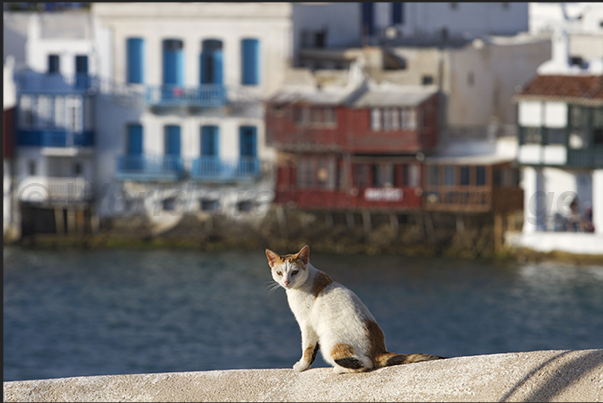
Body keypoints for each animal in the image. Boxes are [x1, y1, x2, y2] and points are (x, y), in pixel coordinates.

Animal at [266, 246, 446, 376]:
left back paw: (339, 368)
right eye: (279, 272)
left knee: (366, 364)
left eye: (295, 272)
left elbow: (307, 348)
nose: (287, 281)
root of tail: (379, 350)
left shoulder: (307, 325)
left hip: (330, 339)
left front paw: (302, 365)